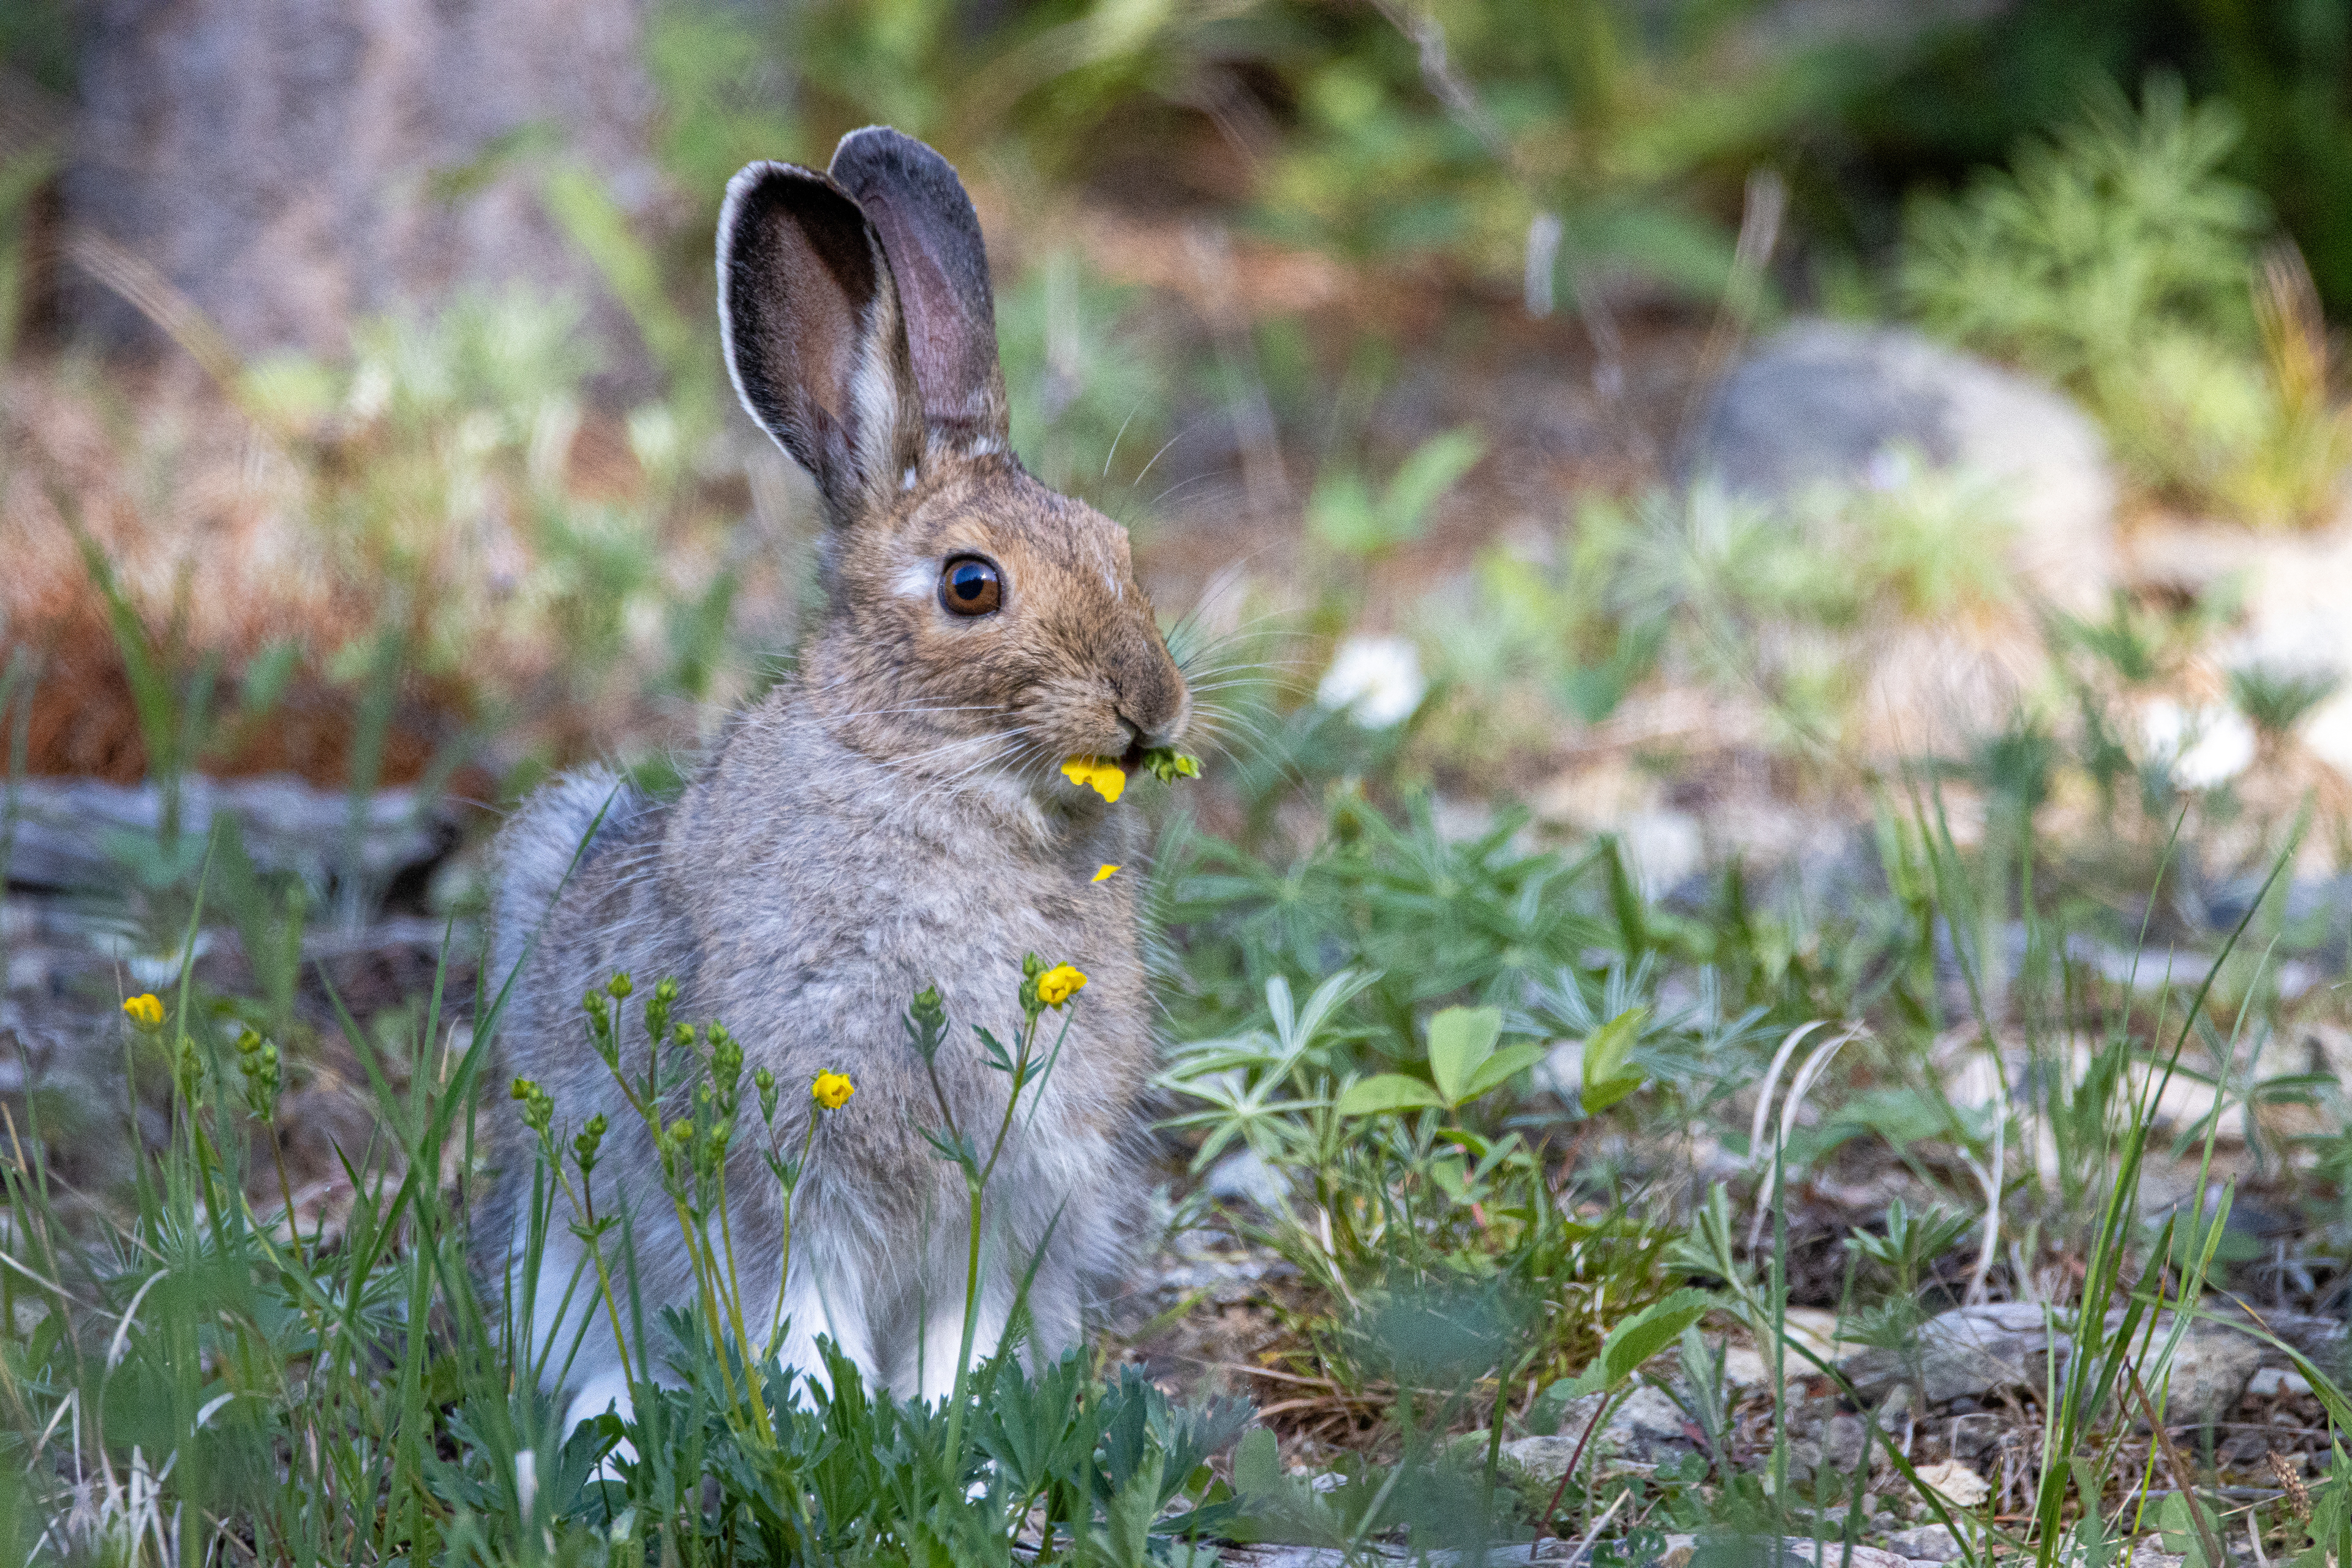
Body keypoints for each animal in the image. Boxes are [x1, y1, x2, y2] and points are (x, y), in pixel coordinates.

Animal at [481, 126, 1191, 1436]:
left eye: (1119, 549)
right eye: (971, 585)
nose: (1151, 706)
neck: (929, 776)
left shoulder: (1011, 1198)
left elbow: (967, 1339)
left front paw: (958, 1440)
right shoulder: (781, 1182)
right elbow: (800, 1324)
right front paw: (824, 1426)